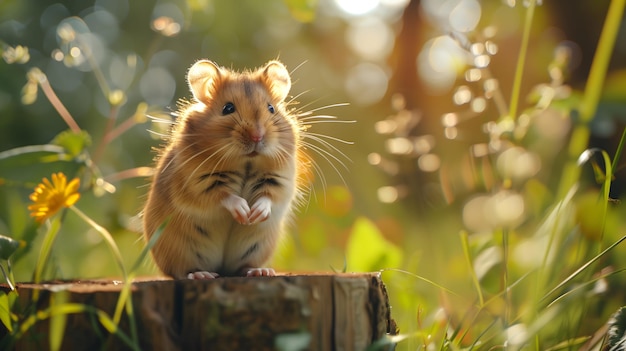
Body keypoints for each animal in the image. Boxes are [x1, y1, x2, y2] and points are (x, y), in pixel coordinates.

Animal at [142, 61, 308, 280]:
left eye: (271, 108)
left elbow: (269, 197)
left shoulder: (280, 180)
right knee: (182, 271)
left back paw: (260, 271)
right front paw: (244, 212)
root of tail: (221, 269)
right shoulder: (198, 183)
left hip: (256, 248)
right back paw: (202, 274)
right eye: (227, 108)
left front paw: (255, 214)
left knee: (242, 267)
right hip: (177, 250)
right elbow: (224, 196)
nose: (257, 136)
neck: (245, 161)